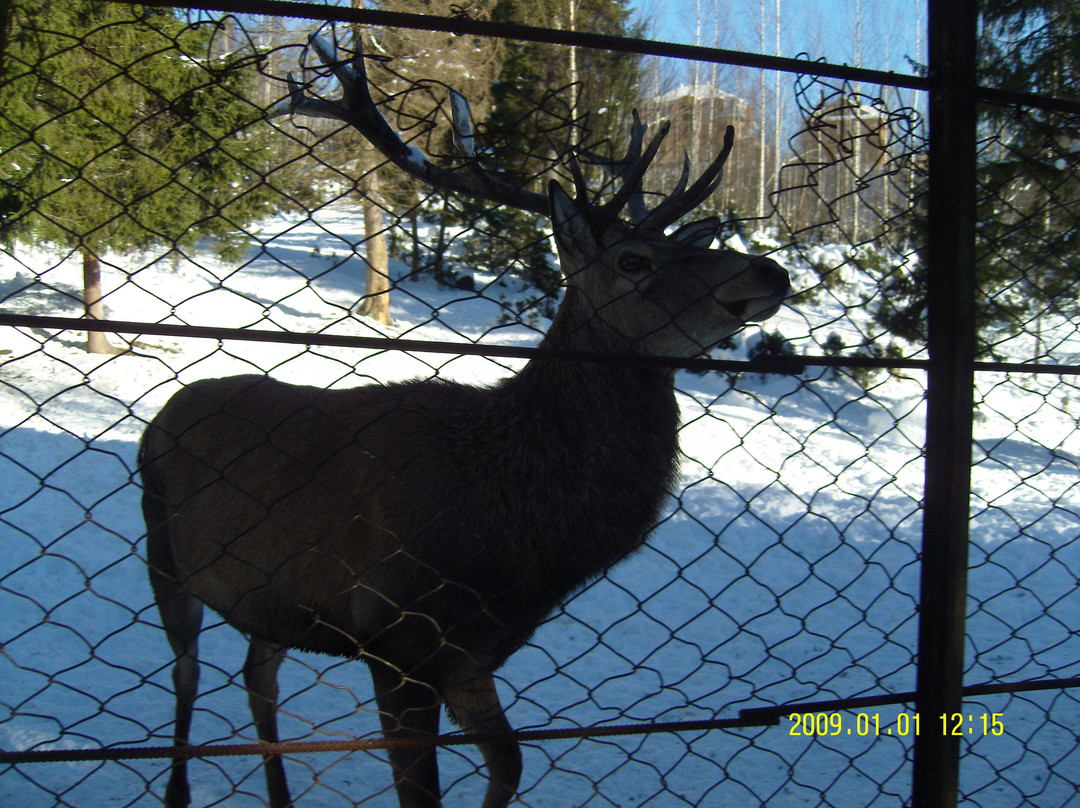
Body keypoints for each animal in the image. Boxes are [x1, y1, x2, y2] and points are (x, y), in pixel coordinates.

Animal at [139, 34, 790, 808]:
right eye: (635, 260)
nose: (768, 272)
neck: (513, 532)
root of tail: (163, 413)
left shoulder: (474, 656)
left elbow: (510, 763)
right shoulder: (396, 640)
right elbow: (423, 792)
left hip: (268, 596)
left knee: (256, 676)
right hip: (163, 555)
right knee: (186, 673)